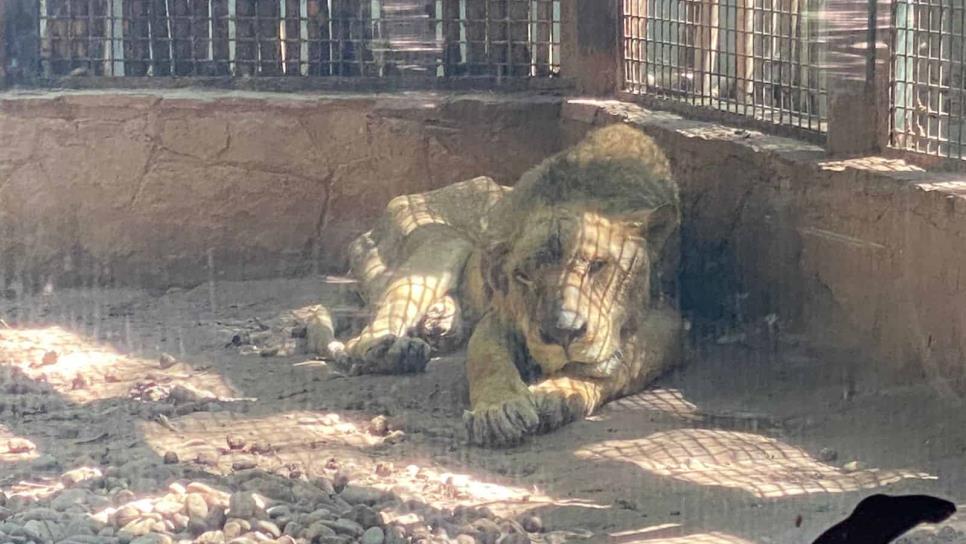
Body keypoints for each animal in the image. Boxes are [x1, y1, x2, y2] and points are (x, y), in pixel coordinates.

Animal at [328, 124, 684, 446]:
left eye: (598, 265)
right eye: (523, 276)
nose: (563, 333)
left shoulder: (672, 321)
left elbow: (622, 364)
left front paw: (558, 395)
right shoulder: (499, 316)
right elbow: (488, 358)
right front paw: (499, 411)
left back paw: (439, 322)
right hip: (443, 239)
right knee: (363, 335)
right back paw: (394, 350)